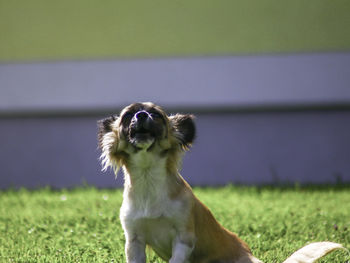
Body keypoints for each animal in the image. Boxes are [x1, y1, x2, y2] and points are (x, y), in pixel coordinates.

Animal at [97, 102, 344, 263]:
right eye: (127, 116)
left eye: (156, 115)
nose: (140, 115)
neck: (149, 180)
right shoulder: (134, 241)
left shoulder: (184, 238)